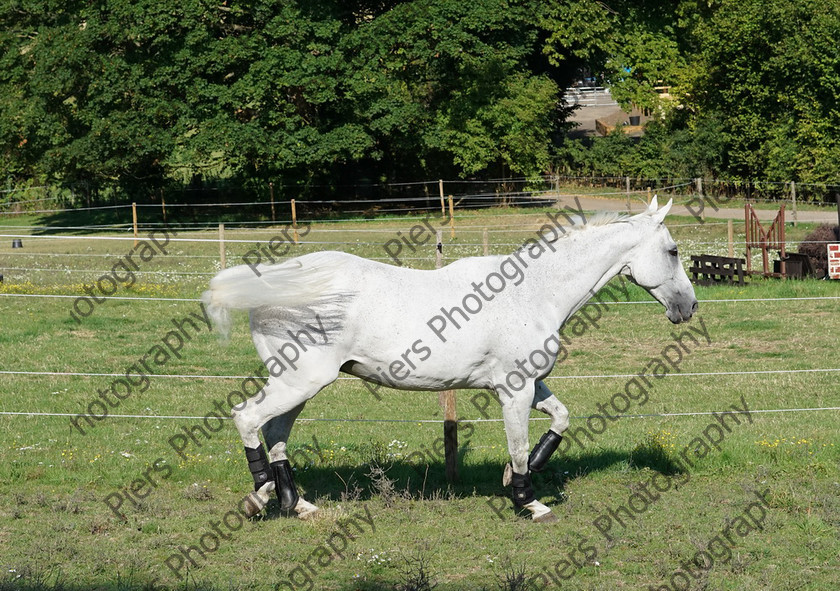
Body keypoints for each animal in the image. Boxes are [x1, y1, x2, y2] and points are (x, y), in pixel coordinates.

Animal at [202, 198, 696, 524]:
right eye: (673, 251)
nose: (688, 307)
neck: (533, 292)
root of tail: (273, 284)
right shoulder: (515, 390)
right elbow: (519, 446)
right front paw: (529, 502)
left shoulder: (530, 385)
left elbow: (559, 420)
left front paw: (512, 478)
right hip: (299, 382)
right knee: (248, 419)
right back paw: (260, 496)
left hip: (301, 386)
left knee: (275, 434)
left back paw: (296, 504)